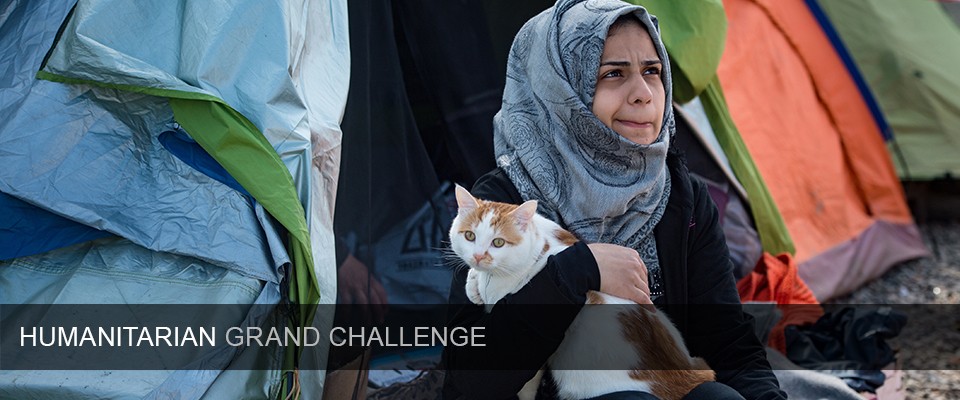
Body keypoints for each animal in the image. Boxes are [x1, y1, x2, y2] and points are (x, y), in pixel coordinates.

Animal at [448, 186, 712, 400]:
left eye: (498, 243)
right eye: (470, 236)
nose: (478, 256)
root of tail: (690, 374)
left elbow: (527, 386)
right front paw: (473, 284)